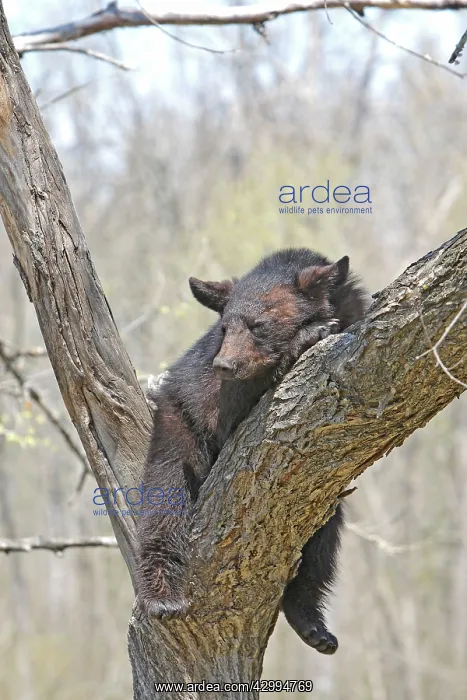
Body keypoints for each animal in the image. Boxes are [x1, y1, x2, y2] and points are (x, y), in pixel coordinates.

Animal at [136, 248, 369, 654]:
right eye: (225, 328)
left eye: (258, 324)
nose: (225, 364)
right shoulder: (211, 395)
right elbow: (232, 407)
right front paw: (309, 335)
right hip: (177, 427)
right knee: (164, 501)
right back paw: (162, 596)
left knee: (323, 540)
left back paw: (312, 624)